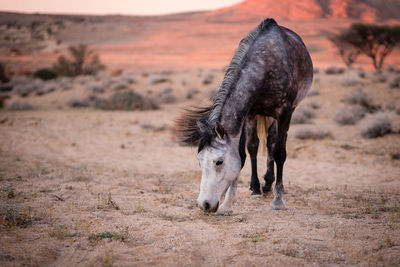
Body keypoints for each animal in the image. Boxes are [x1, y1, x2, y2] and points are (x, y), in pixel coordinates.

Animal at [177, 18, 312, 216]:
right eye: (199, 161)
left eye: (219, 162)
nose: (204, 205)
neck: (266, 64)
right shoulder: (249, 112)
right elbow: (246, 151)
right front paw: (229, 203)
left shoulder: (285, 113)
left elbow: (280, 153)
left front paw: (278, 200)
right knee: (261, 144)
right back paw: (260, 186)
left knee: (272, 142)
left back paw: (270, 184)